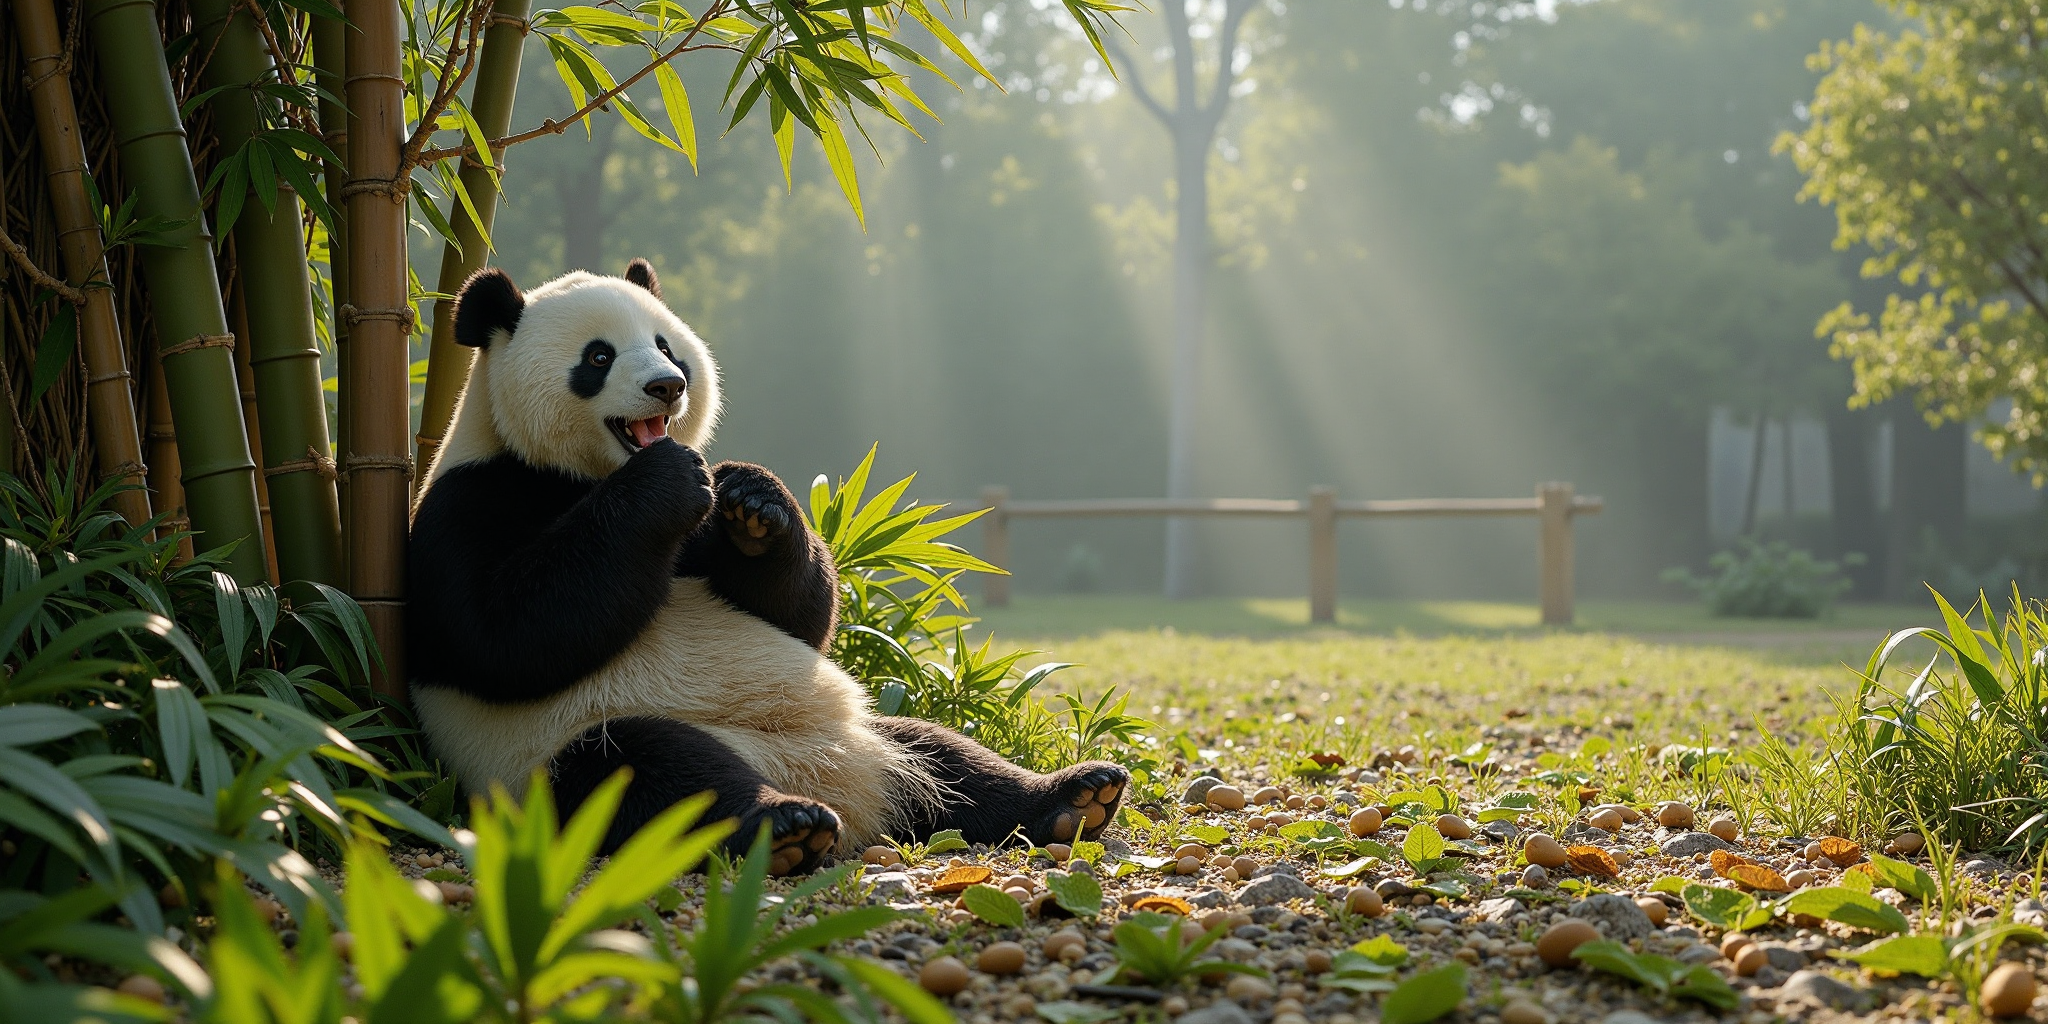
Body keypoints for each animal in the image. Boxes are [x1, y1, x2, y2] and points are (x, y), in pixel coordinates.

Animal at [406, 259, 1127, 874]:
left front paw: (754, 503)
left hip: (862, 733)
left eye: (666, 346)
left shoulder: (698, 539)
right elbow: (503, 635)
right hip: (548, 760)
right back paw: (784, 826)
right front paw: (668, 480)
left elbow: (797, 621)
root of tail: (845, 791)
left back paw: (1075, 797)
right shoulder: (466, 503)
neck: (582, 475)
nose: (668, 385)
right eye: (598, 356)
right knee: (656, 773)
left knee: (944, 755)